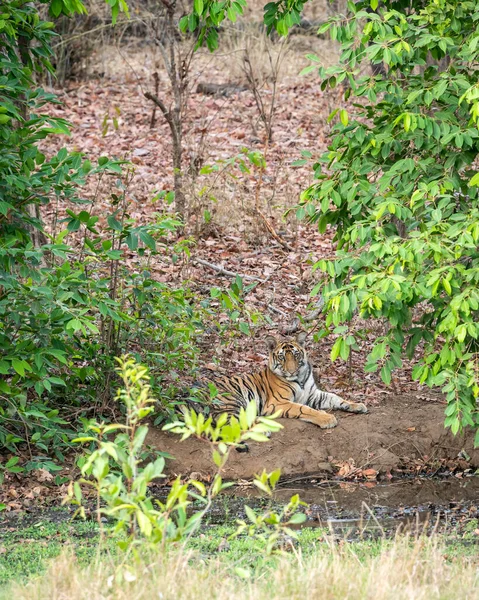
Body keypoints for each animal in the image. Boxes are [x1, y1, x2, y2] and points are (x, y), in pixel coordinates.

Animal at [202, 330, 368, 428]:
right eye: (282, 357)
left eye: (295, 355)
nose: (292, 370)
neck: (300, 379)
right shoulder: (277, 402)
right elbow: (304, 409)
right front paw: (327, 418)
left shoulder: (313, 395)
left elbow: (336, 397)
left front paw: (357, 405)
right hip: (233, 400)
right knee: (232, 420)